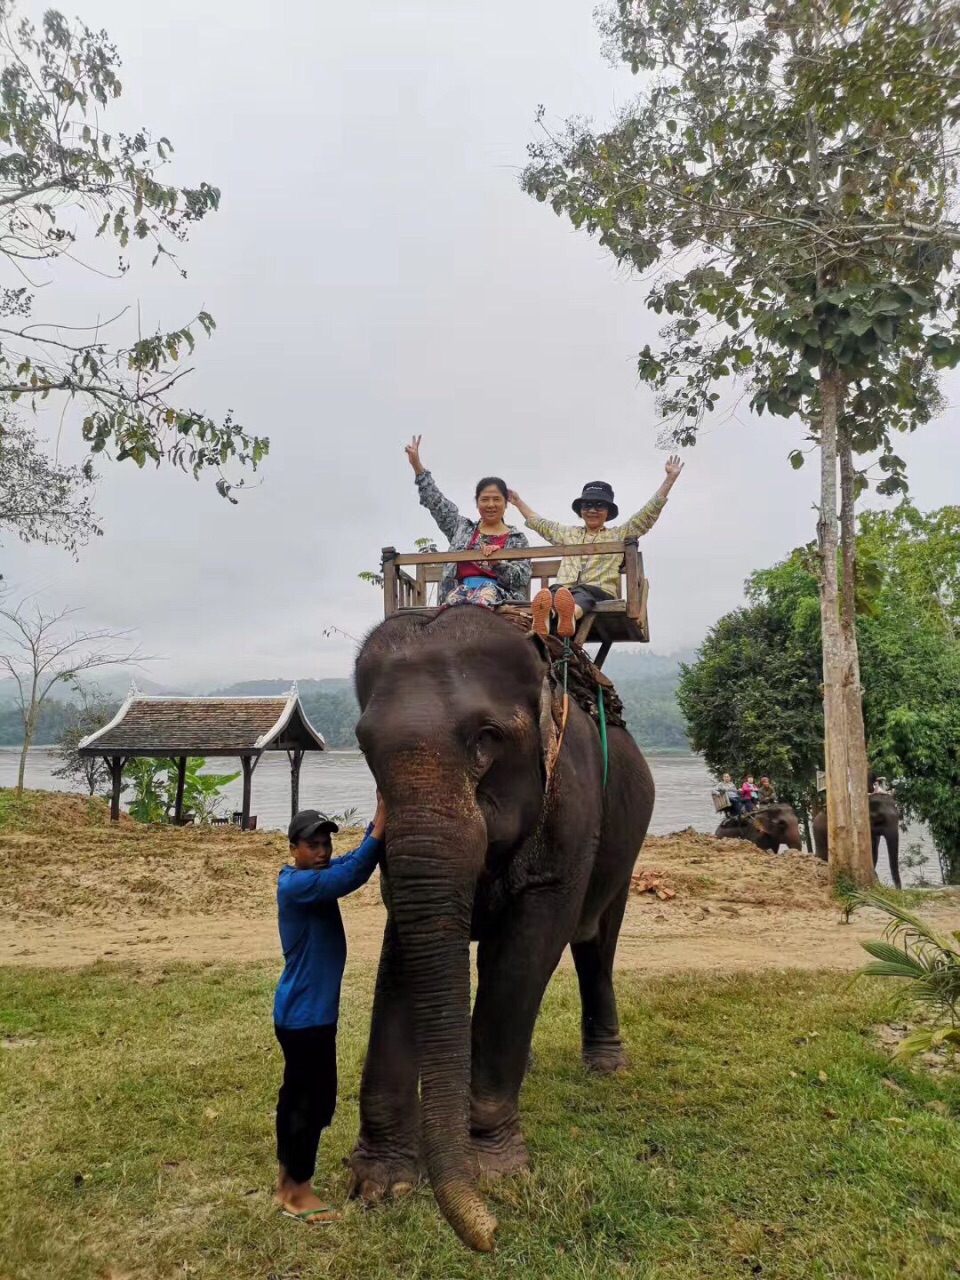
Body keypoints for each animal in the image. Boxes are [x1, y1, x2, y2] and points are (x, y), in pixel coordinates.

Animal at [343, 606, 655, 1249]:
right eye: (363, 745)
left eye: (487, 738)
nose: (488, 1235)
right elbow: (405, 944)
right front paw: (380, 1184)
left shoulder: (571, 807)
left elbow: (525, 954)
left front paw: (496, 1171)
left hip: (627, 839)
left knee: (595, 942)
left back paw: (606, 1065)